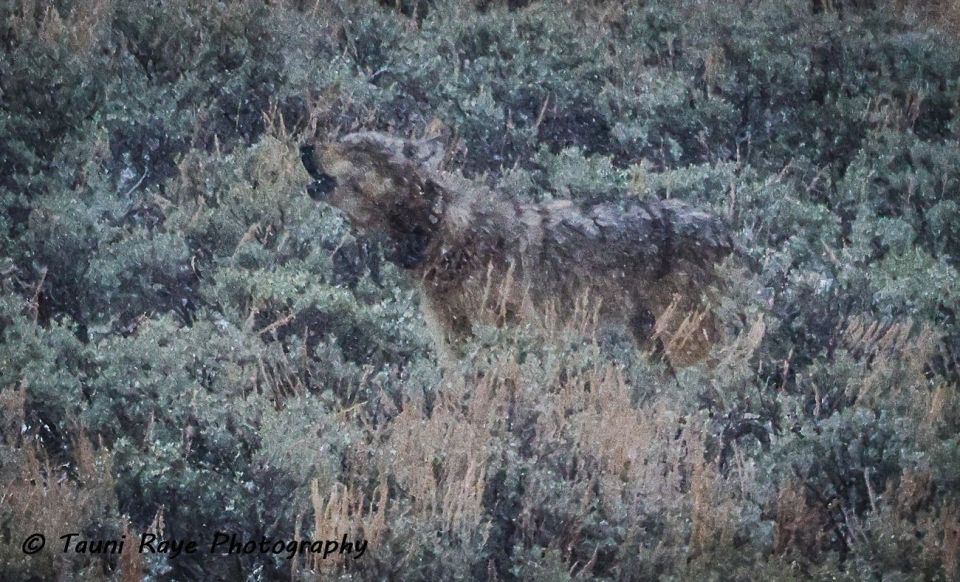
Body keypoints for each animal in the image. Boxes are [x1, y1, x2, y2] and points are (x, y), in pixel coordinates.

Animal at [302, 135, 736, 368]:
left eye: (357, 149)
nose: (305, 146)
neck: (442, 232)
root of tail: (725, 230)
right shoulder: (451, 339)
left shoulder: (515, 331)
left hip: (688, 339)